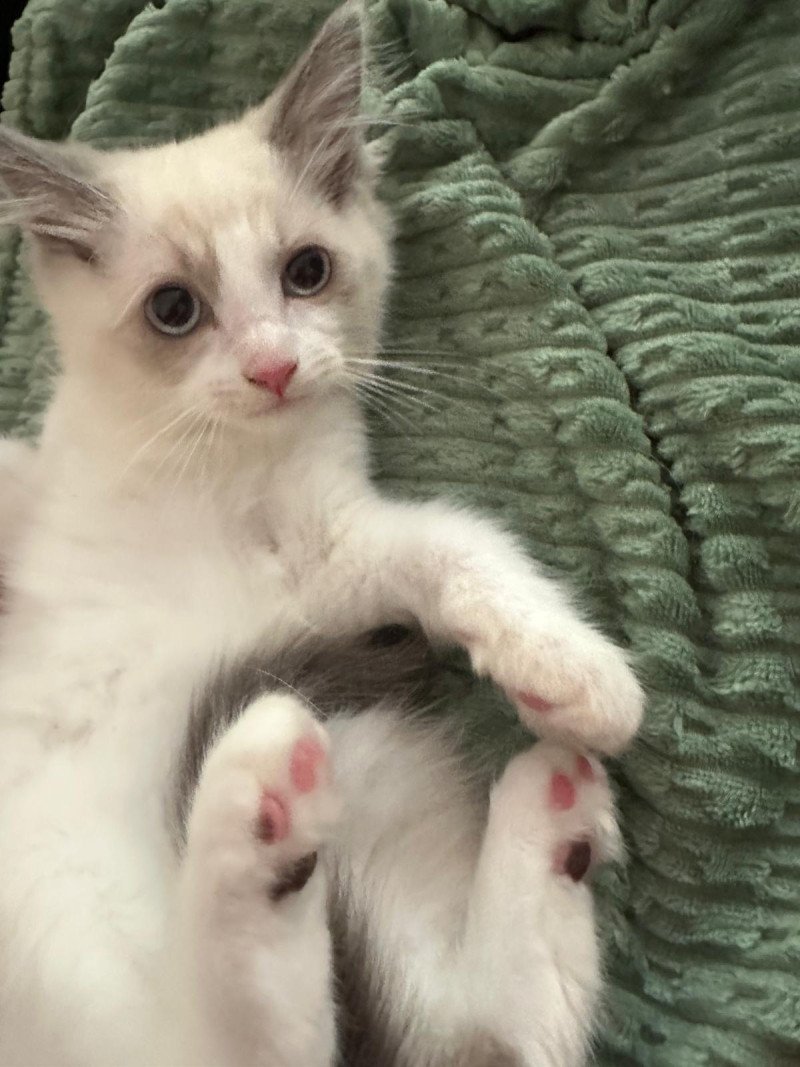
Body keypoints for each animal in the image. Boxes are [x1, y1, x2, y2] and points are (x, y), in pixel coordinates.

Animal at [0, 4, 644, 1062]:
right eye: (174, 308)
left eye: (306, 273)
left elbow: (457, 541)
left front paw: (568, 670)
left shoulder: (330, 558)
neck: (210, 465)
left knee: (376, 1036)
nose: (272, 366)